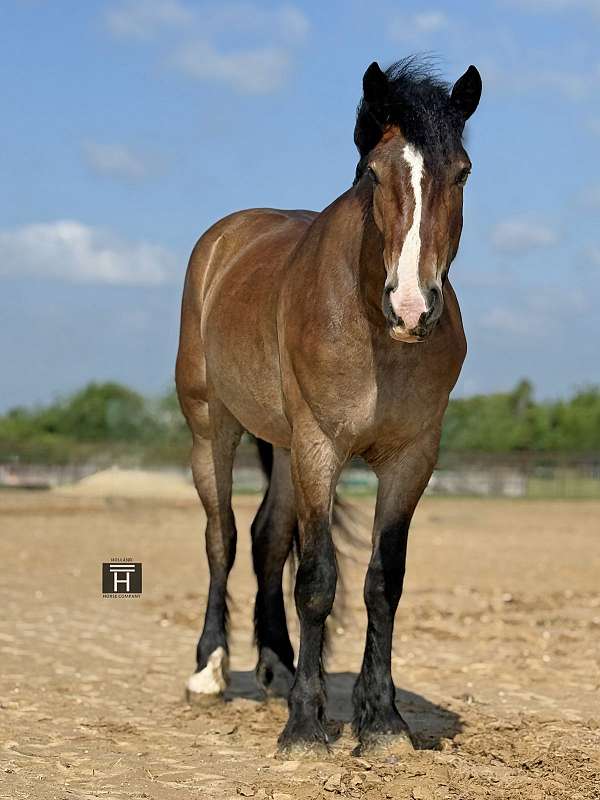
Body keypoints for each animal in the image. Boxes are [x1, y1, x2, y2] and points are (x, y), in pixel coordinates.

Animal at [175, 56, 482, 755]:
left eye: (461, 172)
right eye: (374, 173)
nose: (413, 307)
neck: (372, 327)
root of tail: (223, 240)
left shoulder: (411, 459)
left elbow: (383, 580)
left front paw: (383, 721)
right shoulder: (322, 447)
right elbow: (316, 580)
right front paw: (307, 726)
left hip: (285, 447)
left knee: (265, 538)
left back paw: (276, 666)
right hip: (213, 428)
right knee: (221, 536)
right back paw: (209, 671)